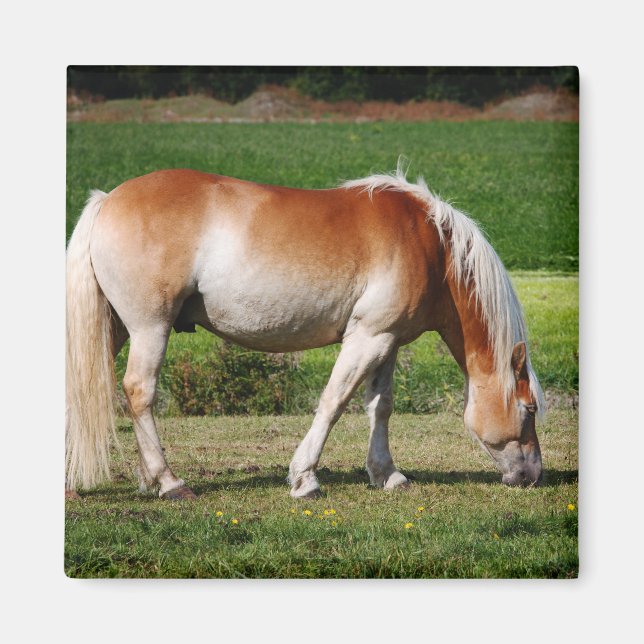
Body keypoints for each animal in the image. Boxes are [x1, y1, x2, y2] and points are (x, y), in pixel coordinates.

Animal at [65, 164, 545, 500]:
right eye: (529, 409)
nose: (533, 475)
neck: (433, 244)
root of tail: (108, 199)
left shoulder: (387, 341)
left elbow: (380, 407)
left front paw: (386, 474)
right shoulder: (367, 338)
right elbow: (333, 402)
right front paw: (304, 479)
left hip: (117, 328)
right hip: (150, 328)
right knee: (139, 392)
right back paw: (169, 482)